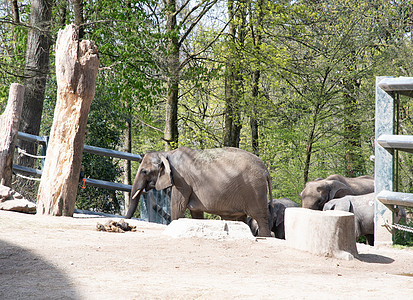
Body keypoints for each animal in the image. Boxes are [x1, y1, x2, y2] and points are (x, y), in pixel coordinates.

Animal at [125, 146, 274, 237]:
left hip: (255, 190)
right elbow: (195, 212)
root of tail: (265, 170)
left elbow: (178, 206)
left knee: (261, 219)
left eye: (144, 171)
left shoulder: (182, 181)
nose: (126, 224)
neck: (166, 154)